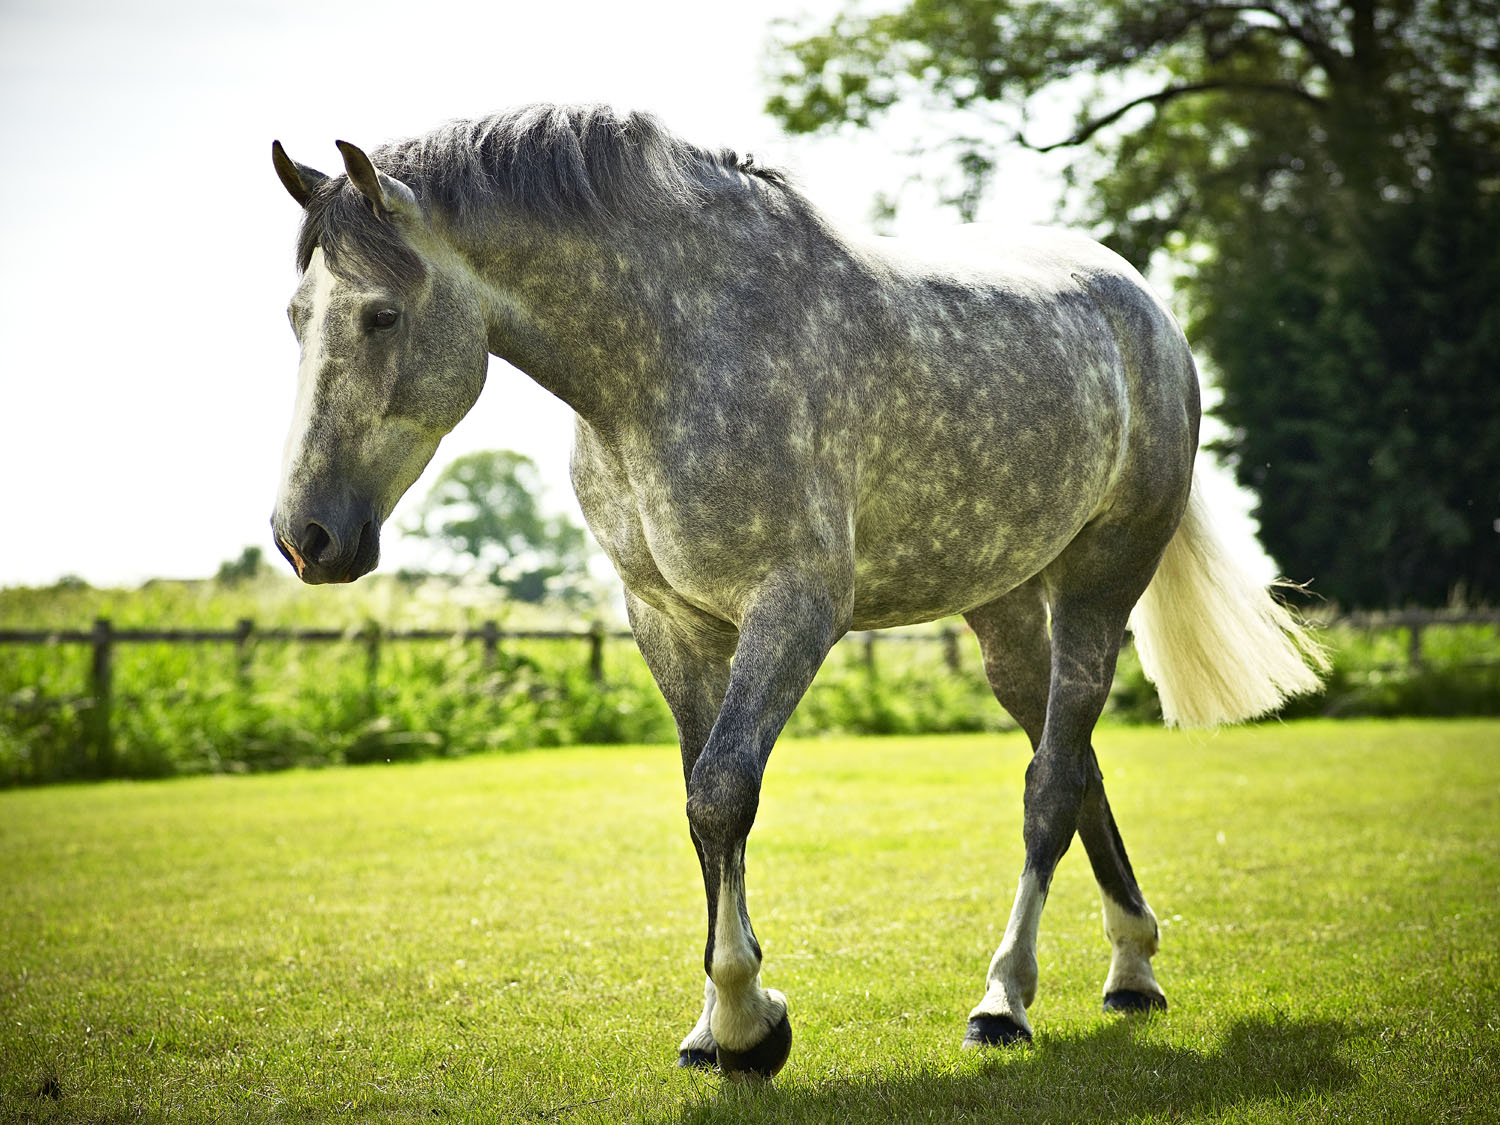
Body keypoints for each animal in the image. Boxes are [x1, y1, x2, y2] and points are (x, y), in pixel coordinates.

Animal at [268, 104, 1326, 1078]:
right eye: (294, 319)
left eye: (382, 314)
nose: (304, 536)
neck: (676, 347)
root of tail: (1146, 309)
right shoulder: (669, 621)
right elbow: (699, 803)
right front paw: (718, 1026)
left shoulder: (794, 611)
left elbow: (723, 794)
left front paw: (747, 1022)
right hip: (1004, 607)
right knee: (1076, 764)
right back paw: (1132, 969)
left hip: (1101, 583)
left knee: (1050, 787)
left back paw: (1006, 999)